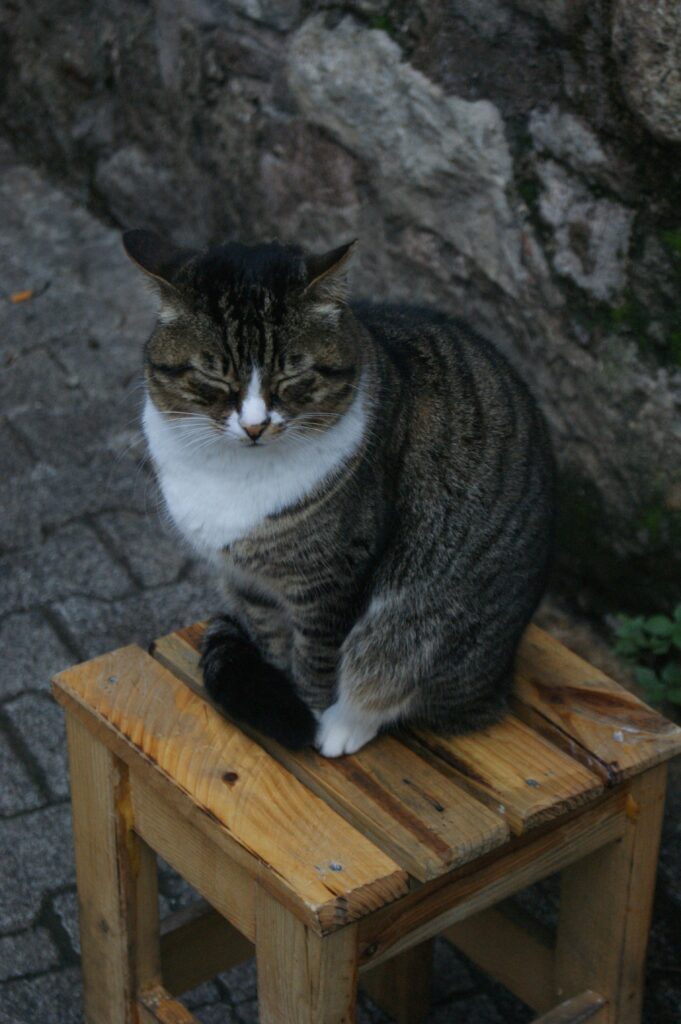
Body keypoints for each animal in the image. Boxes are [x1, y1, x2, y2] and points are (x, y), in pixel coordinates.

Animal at [124, 234, 557, 761]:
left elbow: (318, 660)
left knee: (391, 668)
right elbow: (272, 643)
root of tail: (501, 680)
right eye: (215, 379)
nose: (254, 426)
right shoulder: (248, 582)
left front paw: (308, 715)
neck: (234, 476)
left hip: (427, 624)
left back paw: (344, 725)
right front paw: (277, 688)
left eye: (292, 379)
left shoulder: (336, 579)